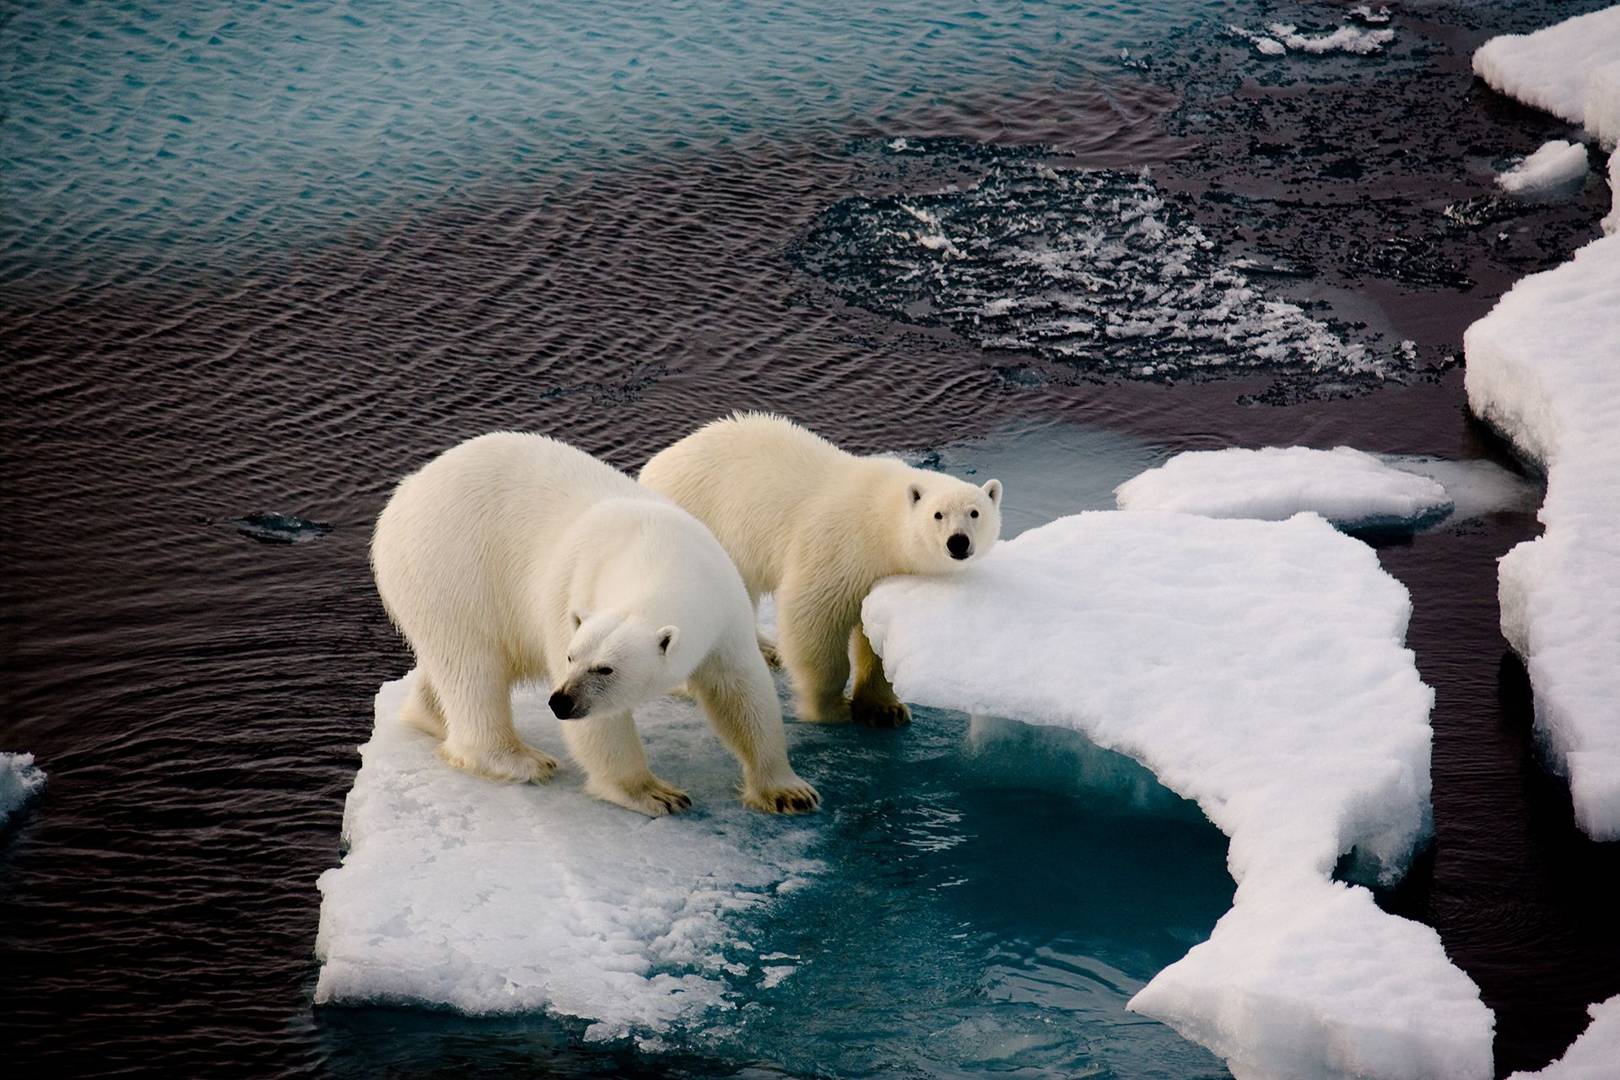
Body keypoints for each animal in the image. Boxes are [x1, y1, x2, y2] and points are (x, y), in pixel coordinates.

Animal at [370, 433, 816, 816]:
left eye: (605, 668)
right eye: (571, 657)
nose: (560, 702)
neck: (659, 552)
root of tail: (406, 490)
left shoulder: (723, 604)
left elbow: (741, 689)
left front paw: (788, 792)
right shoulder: (572, 589)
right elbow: (603, 727)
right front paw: (655, 793)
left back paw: (431, 715)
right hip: (450, 567)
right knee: (472, 666)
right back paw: (521, 760)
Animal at [635, 414, 997, 725]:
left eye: (975, 512)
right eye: (938, 514)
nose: (958, 542)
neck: (880, 521)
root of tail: (651, 468)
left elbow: (876, 636)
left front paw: (885, 709)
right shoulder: (839, 548)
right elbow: (813, 618)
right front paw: (831, 708)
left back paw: (767, 650)